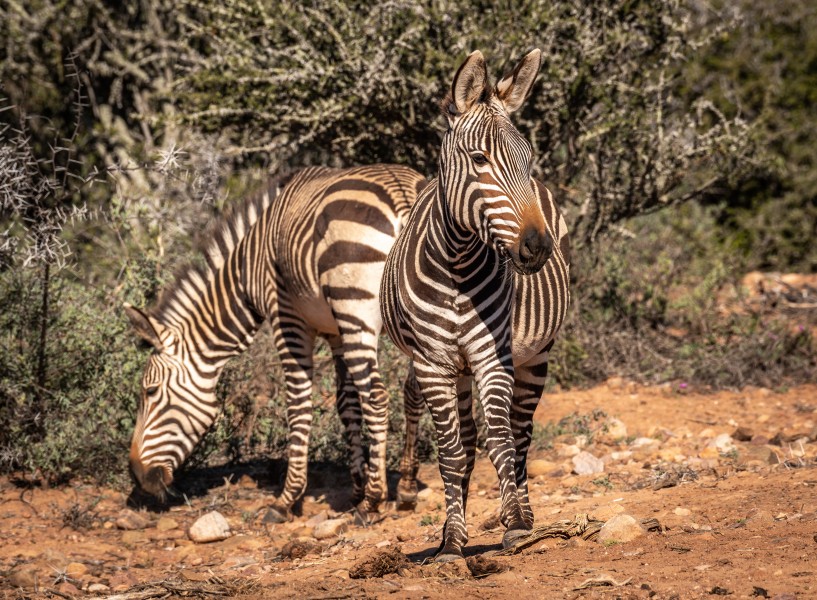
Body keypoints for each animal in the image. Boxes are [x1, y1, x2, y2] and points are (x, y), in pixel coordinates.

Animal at [126, 164, 428, 520]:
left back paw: (373, 501)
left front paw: (288, 498)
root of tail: (403, 193)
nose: (137, 475)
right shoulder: (336, 333)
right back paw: (405, 487)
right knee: (412, 390)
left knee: (378, 397)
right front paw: (355, 488)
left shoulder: (287, 319)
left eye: (150, 392)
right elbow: (346, 405)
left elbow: (298, 405)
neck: (245, 271)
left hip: (354, 309)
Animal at [380, 49, 572, 560]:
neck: (457, 264)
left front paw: (516, 525)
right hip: (458, 370)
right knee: (466, 442)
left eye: (528, 159)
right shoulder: (433, 364)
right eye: (480, 159)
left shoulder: (492, 357)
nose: (537, 248)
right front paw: (451, 541)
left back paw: (525, 513)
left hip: (536, 355)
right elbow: (452, 453)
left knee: (521, 435)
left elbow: (502, 443)